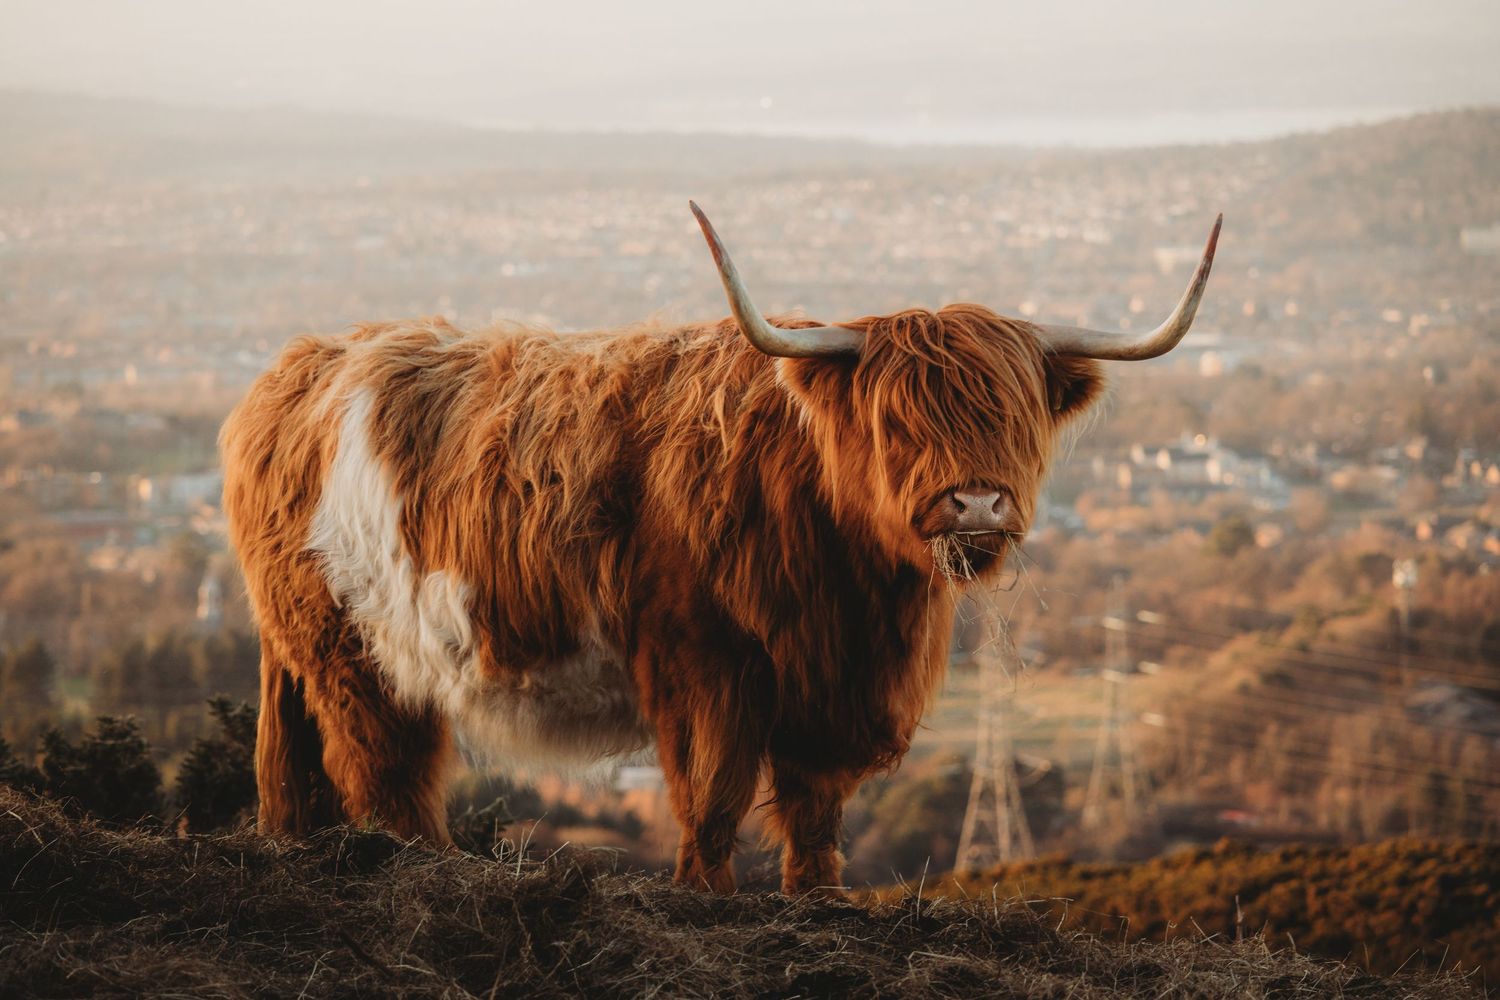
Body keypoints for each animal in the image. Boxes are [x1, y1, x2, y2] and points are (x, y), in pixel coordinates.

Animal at [221, 202, 1220, 895]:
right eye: (898, 420)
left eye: (1014, 417)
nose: (977, 502)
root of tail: (301, 367)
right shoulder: (704, 665)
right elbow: (714, 795)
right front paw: (705, 893)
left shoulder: (833, 688)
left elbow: (815, 810)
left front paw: (818, 898)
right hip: (352, 652)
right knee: (381, 771)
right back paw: (420, 865)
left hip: (316, 655)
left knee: (309, 768)